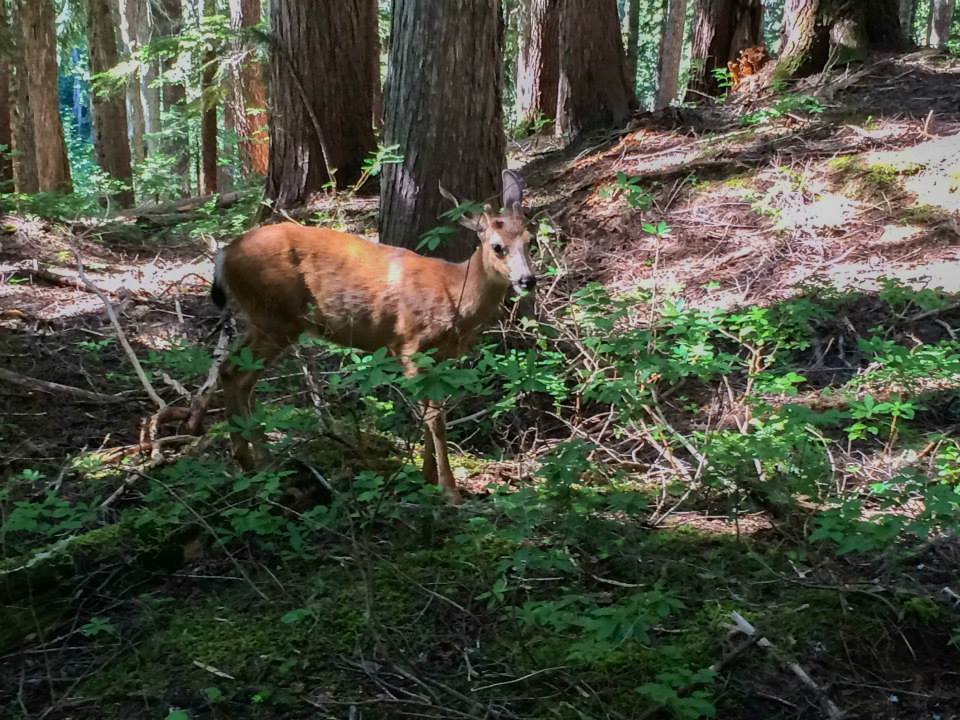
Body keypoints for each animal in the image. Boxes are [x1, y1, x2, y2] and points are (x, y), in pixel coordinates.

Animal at [210, 171, 536, 504]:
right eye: (497, 246)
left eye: (529, 241)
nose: (527, 280)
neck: (455, 293)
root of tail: (223, 255)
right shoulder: (409, 345)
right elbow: (435, 419)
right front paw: (450, 491)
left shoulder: (438, 358)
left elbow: (430, 413)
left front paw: (427, 476)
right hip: (275, 317)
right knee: (236, 373)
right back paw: (254, 464)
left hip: (266, 320)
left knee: (233, 373)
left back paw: (259, 465)